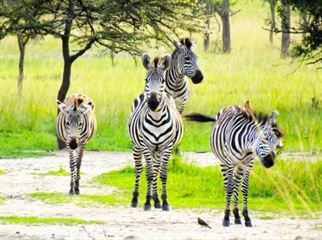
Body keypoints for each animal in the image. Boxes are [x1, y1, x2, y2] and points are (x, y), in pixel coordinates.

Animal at [128, 54, 184, 210]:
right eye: (146, 80)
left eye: (162, 81)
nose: (153, 103)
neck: (157, 119)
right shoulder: (146, 146)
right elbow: (148, 173)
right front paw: (147, 202)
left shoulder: (167, 146)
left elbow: (162, 174)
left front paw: (164, 201)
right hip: (137, 145)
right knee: (140, 168)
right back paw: (136, 198)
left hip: (157, 150)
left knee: (156, 169)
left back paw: (156, 199)